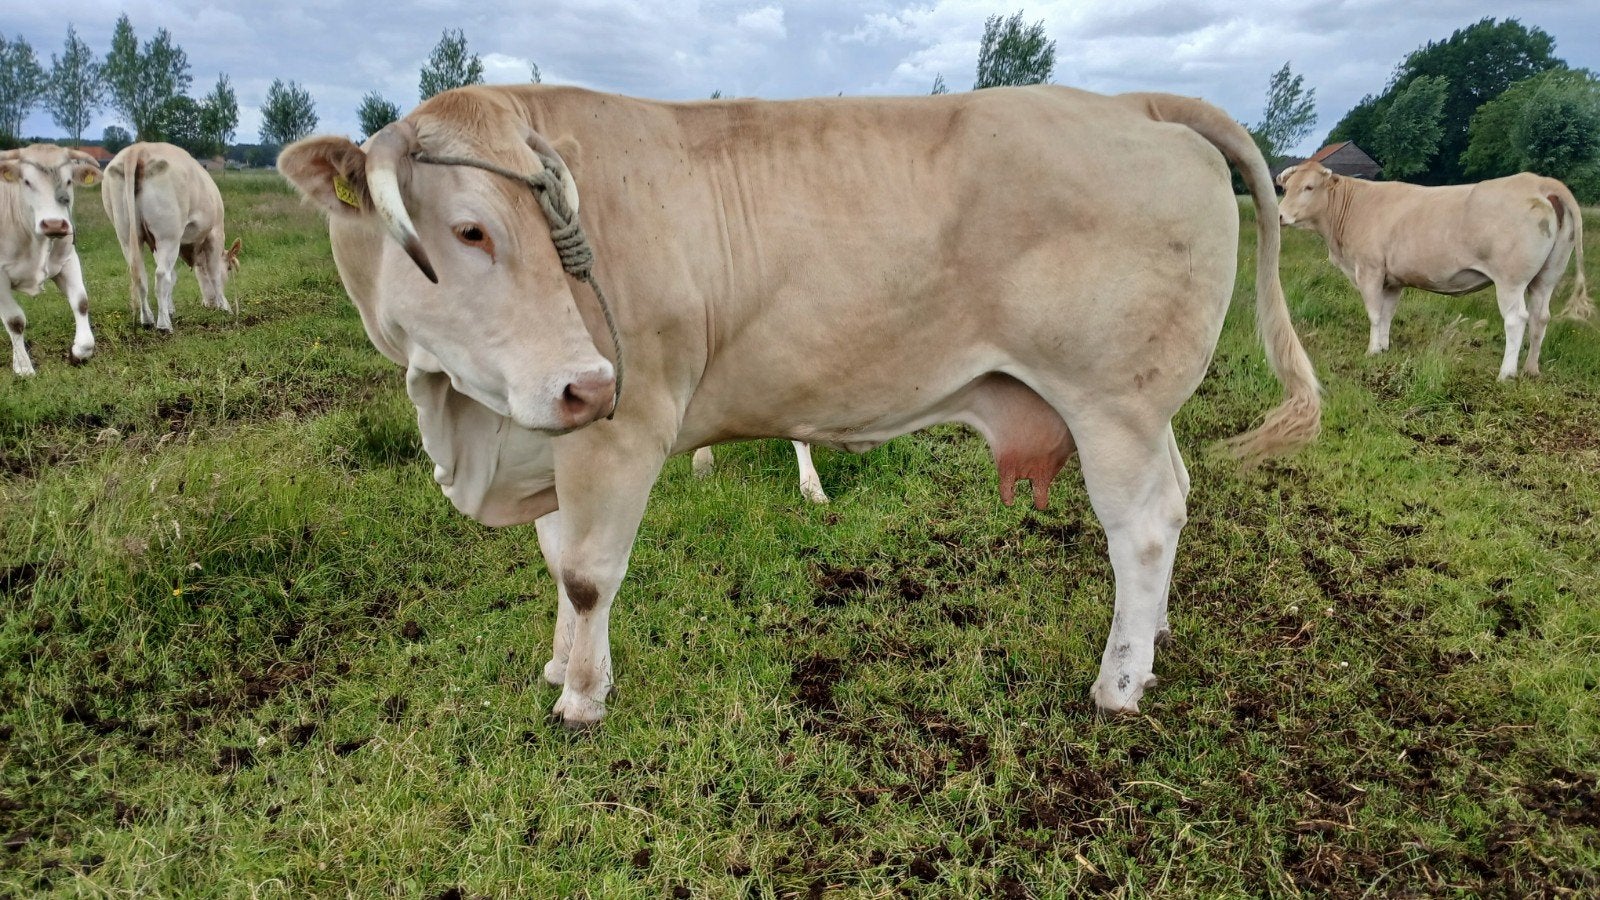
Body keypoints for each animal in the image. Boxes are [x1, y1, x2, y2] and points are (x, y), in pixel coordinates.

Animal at [0, 144, 100, 376]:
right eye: (27, 181)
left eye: (69, 181)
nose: (54, 224)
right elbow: (14, 320)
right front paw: (23, 367)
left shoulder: (68, 259)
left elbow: (81, 302)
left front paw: (79, 352)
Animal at [102, 142, 241, 333]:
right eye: (229, 269)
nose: (209, 304)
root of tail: (138, 149)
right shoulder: (215, 233)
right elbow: (214, 273)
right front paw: (225, 307)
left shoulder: (156, 245)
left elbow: (173, 276)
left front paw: (170, 309)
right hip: (168, 235)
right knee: (161, 276)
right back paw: (163, 325)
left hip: (126, 235)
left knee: (140, 275)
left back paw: (147, 319)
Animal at [1276, 162, 1592, 379]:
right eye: (1286, 188)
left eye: (1309, 187)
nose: (1279, 215)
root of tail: (1538, 181)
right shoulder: (1393, 280)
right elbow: (1388, 314)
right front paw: (1384, 348)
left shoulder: (1369, 269)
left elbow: (1375, 314)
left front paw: (1371, 350)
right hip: (1547, 275)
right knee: (1541, 317)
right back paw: (1530, 369)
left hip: (1511, 279)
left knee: (1517, 320)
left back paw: (1506, 373)